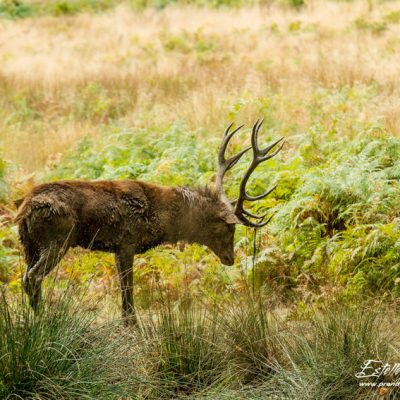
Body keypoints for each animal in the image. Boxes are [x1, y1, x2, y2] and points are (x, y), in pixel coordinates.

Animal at [15, 120, 282, 326]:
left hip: (29, 244)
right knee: (33, 277)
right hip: (57, 239)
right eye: (230, 227)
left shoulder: (118, 248)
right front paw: (132, 325)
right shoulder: (126, 242)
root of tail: (25, 207)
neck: (161, 219)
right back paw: (43, 320)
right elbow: (128, 289)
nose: (230, 258)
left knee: (26, 277)